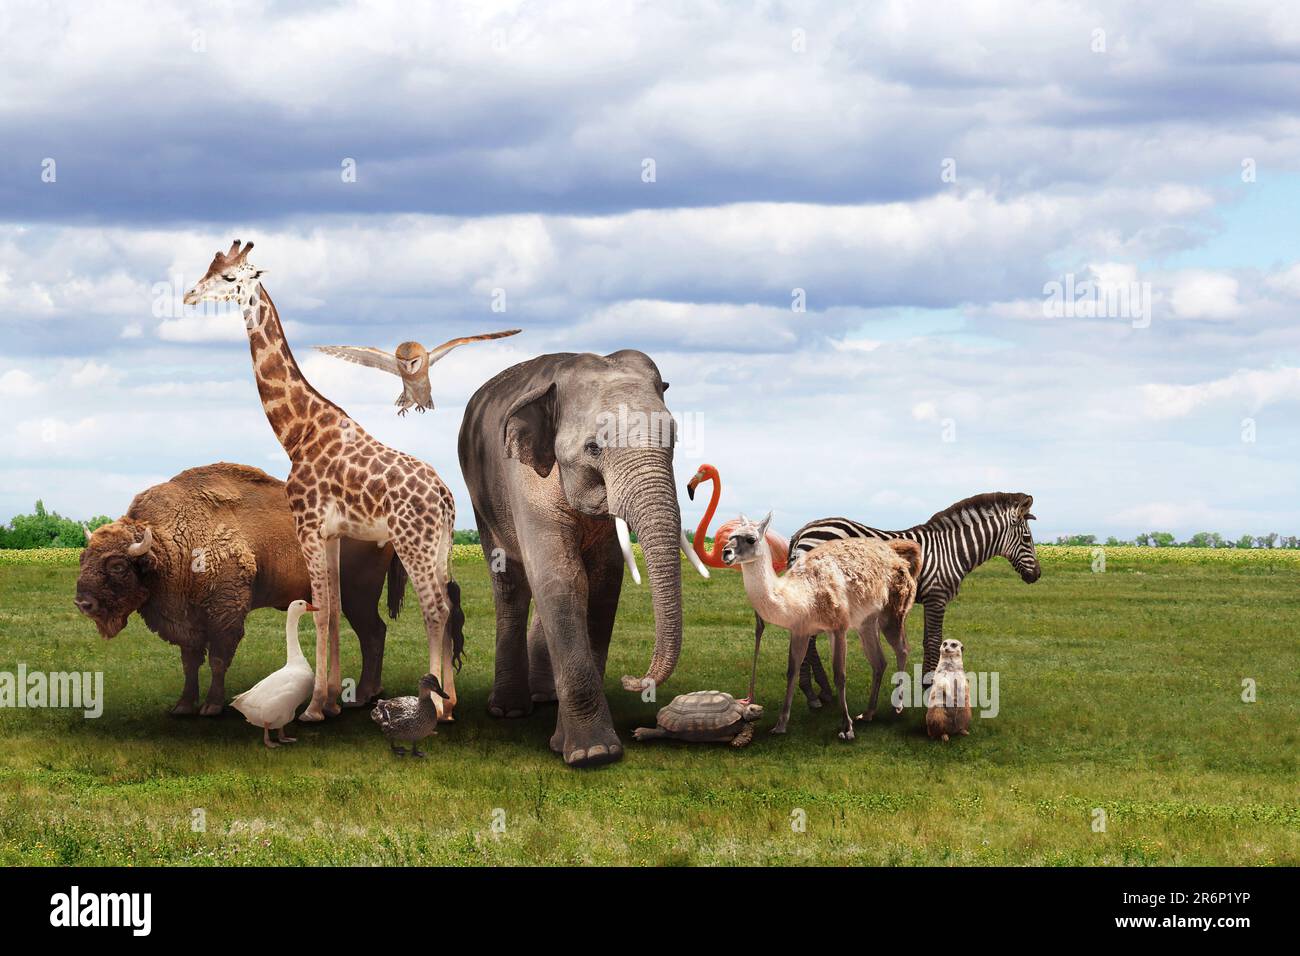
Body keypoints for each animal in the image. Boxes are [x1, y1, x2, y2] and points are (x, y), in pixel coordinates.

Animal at [76, 463, 441, 717]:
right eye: (83, 557)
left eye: (117, 565)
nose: (83, 603)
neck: (168, 546)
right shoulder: (187, 622)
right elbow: (190, 662)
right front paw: (183, 706)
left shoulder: (225, 614)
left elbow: (218, 659)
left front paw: (212, 706)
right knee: (374, 634)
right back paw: (368, 694)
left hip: (357, 596)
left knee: (372, 633)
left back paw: (362, 696)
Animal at [185, 243, 460, 723]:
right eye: (208, 269)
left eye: (229, 278)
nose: (188, 296)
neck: (298, 432)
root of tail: (445, 497)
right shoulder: (331, 533)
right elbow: (330, 610)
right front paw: (330, 702)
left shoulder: (309, 525)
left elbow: (320, 613)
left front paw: (312, 708)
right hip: (440, 545)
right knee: (444, 605)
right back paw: (451, 703)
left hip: (413, 541)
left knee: (435, 609)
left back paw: (438, 708)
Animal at [454, 351, 702, 770]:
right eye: (593, 448)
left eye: (673, 439)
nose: (634, 682)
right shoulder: (525, 480)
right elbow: (561, 578)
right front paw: (593, 754)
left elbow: (601, 583)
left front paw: (576, 744)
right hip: (481, 495)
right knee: (511, 585)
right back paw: (509, 710)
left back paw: (545, 696)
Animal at [759, 494, 1040, 712]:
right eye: (1027, 539)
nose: (1036, 575)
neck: (951, 551)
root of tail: (802, 531)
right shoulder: (937, 597)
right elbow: (933, 641)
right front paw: (929, 688)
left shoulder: (931, 599)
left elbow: (929, 640)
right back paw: (813, 693)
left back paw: (821, 691)